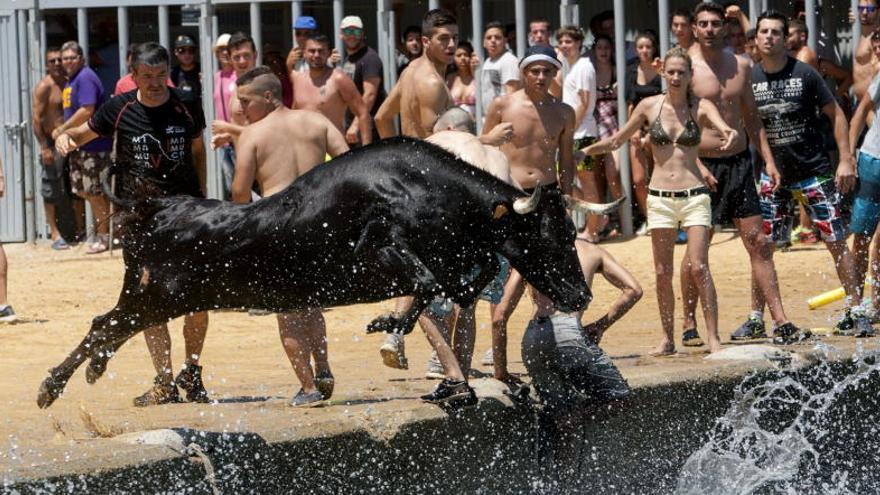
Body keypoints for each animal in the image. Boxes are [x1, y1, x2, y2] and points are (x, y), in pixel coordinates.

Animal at [36, 138, 592, 408]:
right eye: (553, 234)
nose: (581, 296)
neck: (428, 189)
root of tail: (157, 209)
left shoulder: (454, 263)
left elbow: (466, 282)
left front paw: (392, 327)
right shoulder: (384, 249)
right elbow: (430, 284)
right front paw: (388, 326)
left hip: (158, 297)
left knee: (108, 325)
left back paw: (90, 371)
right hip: (158, 297)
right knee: (103, 326)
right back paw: (52, 386)